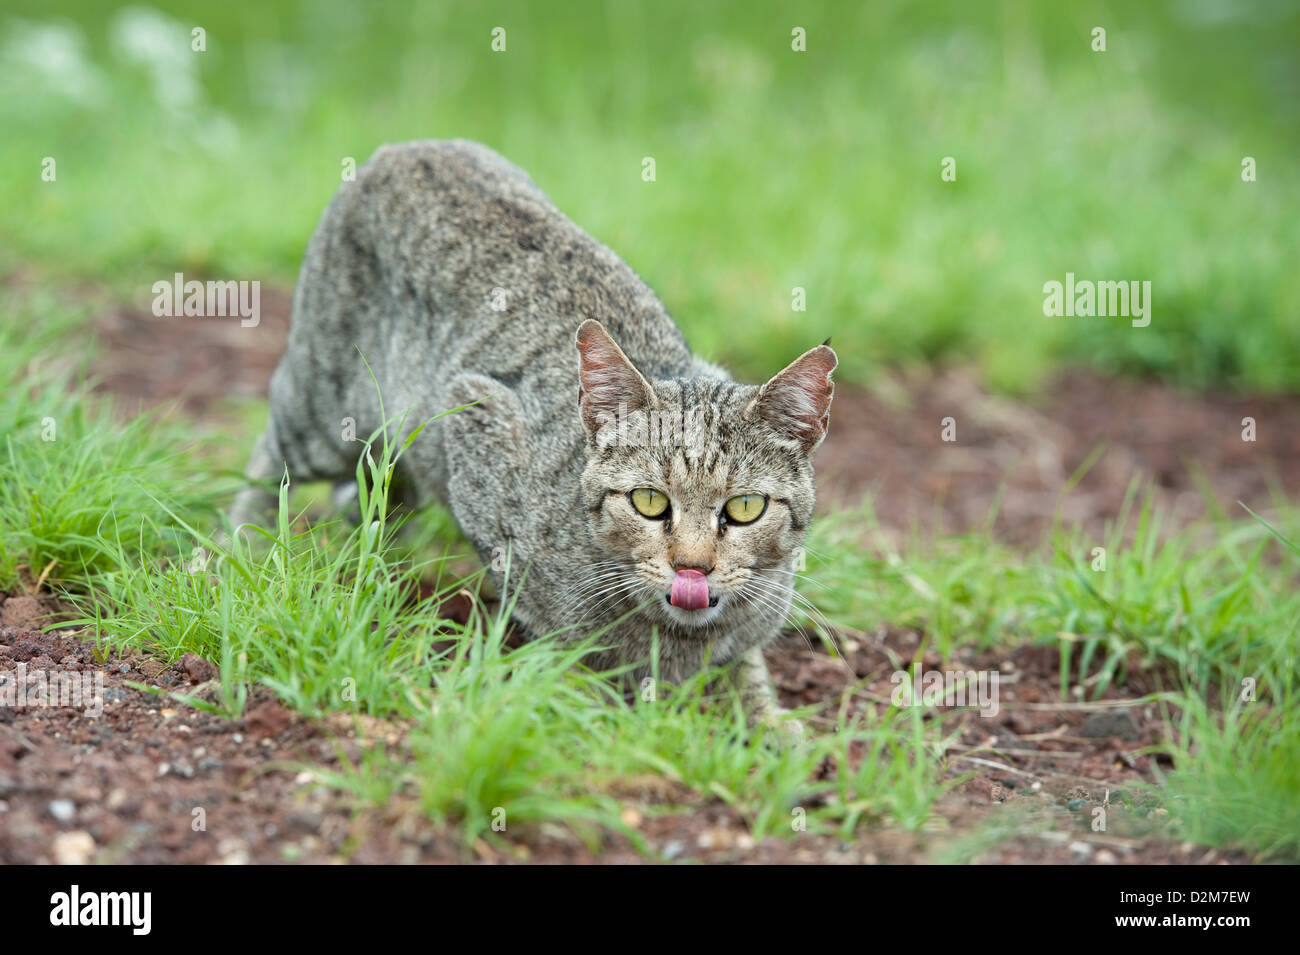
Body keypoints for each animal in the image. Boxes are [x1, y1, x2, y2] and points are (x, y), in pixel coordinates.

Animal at [228, 140, 837, 732]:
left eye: (745, 509)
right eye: (648, 501)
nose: (694, 568)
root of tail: (403, 146)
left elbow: (745, 664)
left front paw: (769, 722)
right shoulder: (474, 416)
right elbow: (555, 627)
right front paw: (593, 702)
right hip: (323, 411)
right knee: (268, 456)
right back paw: (244, 548)